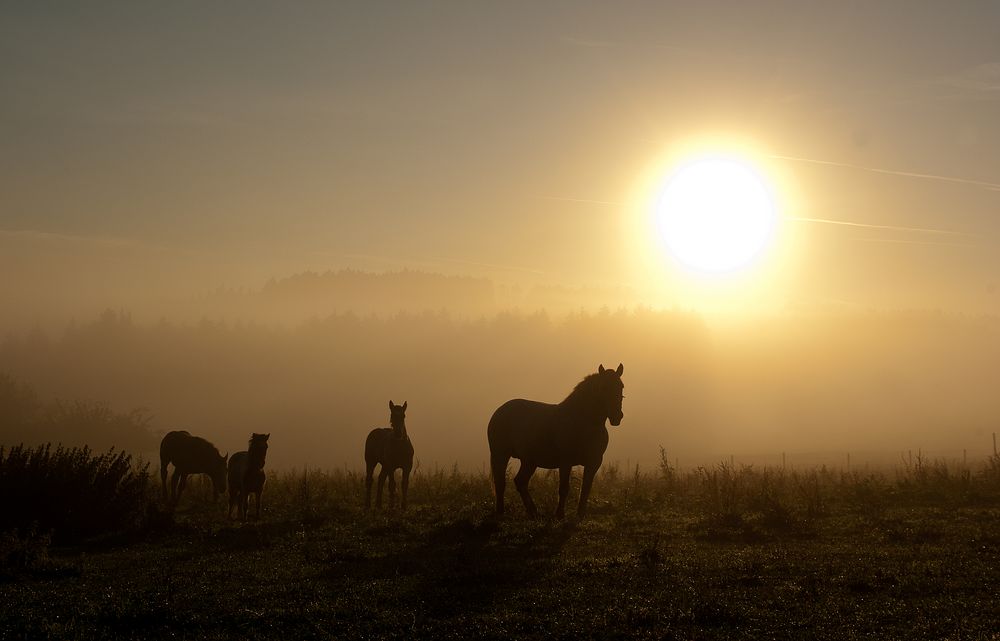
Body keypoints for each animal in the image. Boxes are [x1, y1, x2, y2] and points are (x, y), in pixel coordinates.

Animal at [486, 362, 620, 516]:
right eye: (603, 387)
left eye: (621, 386)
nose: (617, 416)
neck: (583, 422)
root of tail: (499, 411)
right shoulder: (566, 461)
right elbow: (564, 488)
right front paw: (559, 514)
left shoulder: (594, 462)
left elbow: (586, 489)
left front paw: (580, 515)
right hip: (500, 455)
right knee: (500, 483)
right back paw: (501, 512)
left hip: (529, 461)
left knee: (520, 482)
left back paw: (533, 512)